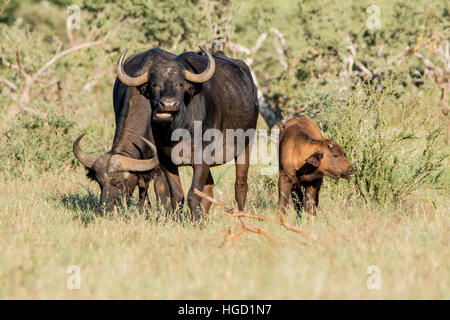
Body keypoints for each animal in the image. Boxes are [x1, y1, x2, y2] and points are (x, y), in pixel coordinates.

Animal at [73, 48, 173, 212]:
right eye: (100, 183)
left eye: (119, 183)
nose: (105, 209)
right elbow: (143, 185)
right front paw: (142, 209)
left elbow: (161, 186)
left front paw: (164, 210)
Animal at [116, 47, 258, 221]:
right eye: (154, 84)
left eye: (180, 83)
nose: (168, 104)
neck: (177, 130)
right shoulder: (166, 161)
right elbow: (177, 195)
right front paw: (180, 220)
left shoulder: (201, 159)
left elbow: (193, 194)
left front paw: (195, 221)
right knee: (209, 187)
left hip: (246, 146)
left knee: (240, 185)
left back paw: (241, 216)